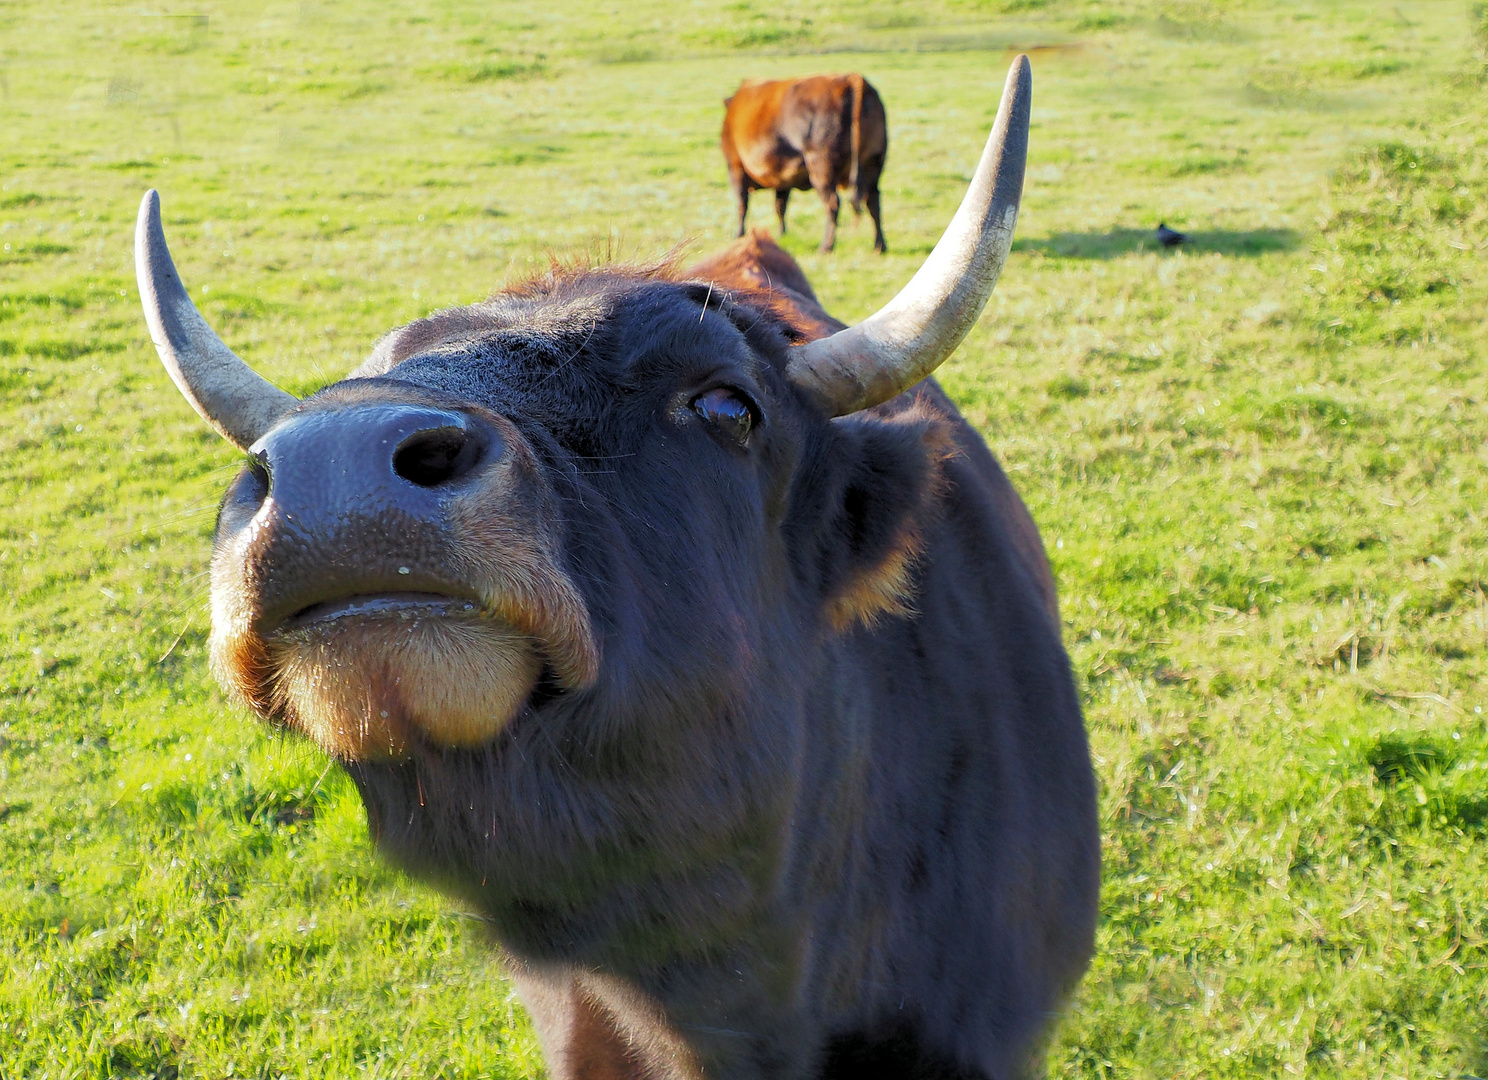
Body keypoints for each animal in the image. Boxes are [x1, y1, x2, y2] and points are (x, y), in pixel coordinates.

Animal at [720, 74, 880, 255]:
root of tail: (849, 78)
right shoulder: (783, 178)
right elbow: (780, 206)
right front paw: (782, 235)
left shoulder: (736, 167)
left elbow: (742, 205)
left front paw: (739, 235)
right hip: (873, 165)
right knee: (873, 202)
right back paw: (879, 246)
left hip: (822, 170)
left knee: (833, 203)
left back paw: (826, 246)